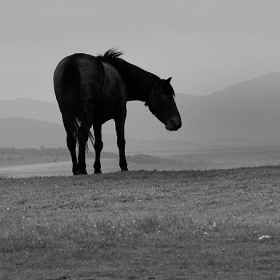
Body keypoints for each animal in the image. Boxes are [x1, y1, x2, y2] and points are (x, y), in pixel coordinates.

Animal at [53, 49, 183, 174]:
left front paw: (97, 169)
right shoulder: (120, 114)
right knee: (81, 135)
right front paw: (123, 166)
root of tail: (72, 63)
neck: (121, 77)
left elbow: (98, 144)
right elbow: (121, 141)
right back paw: (82, 169)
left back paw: (75, 169)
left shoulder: (97, 121)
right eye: (169, 96)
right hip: (87, 116)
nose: (178, 123)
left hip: (66, 116)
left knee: (71, 140)